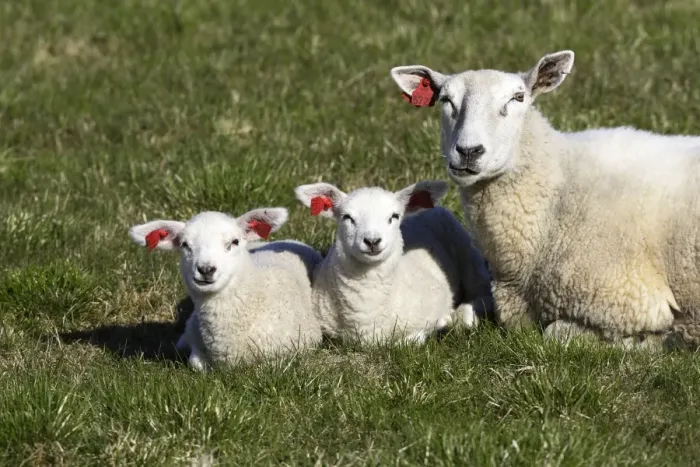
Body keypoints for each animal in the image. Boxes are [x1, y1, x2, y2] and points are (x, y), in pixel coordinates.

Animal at [294, 180, 493, 344]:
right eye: (347, 217)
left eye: (394, 216)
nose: (372, 241)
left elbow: (409, 341)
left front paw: (443, 322)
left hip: (466, 251)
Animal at [390, 50, 700, 347]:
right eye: (446, 100)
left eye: (518, 97)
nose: (469, 151)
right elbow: (460, 316)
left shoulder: (632, 300)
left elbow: (557, 334)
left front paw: (658, 342)